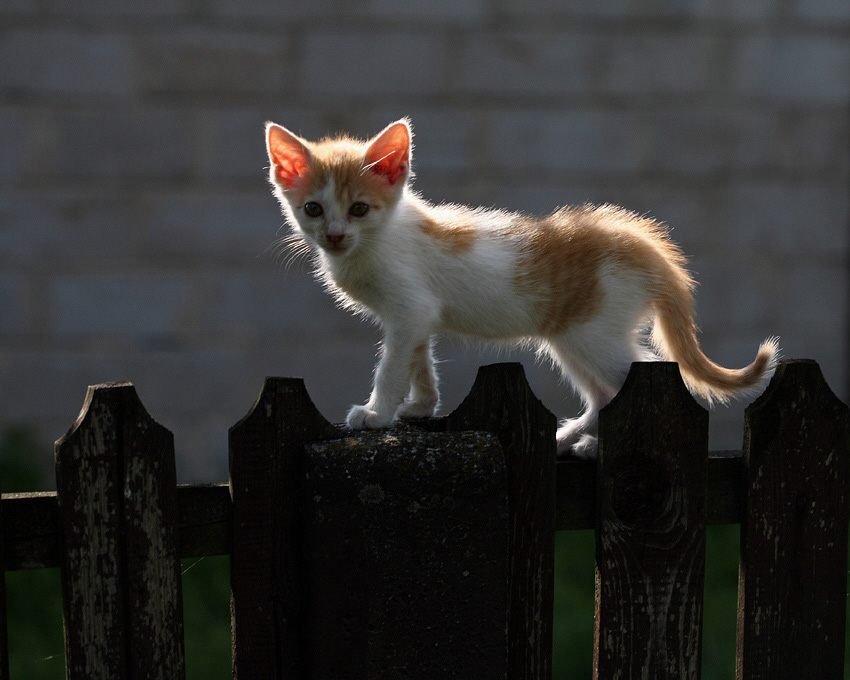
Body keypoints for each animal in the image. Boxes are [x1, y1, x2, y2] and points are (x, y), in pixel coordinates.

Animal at [264, 118, 776, 456]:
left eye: (359, 209)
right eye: (313, 209)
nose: (334, 235)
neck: (379, 240)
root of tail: (642, 244)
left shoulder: (409, 308)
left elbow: (391, 365)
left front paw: (376, 414)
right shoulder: (417, 316)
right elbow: (418, 359)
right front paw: (422, 405)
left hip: (593, 334)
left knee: (649, 377)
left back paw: (597, 445)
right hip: (571, 337)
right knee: (604, 393)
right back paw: (571, 436)